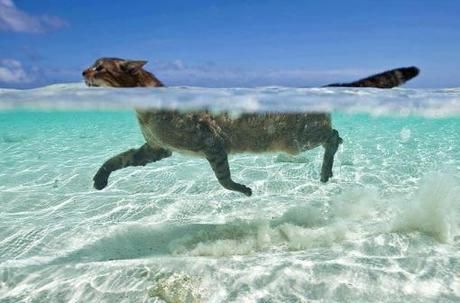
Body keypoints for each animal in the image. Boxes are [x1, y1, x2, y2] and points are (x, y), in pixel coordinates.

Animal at [82, 58, 420, 197]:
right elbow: (118, 159)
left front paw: (242, 189)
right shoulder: (156, 149)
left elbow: (223, 179)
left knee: (334, 137)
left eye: (100, 67)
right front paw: (100, 178)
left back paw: (326, 171)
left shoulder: (211, 142)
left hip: (298, 138)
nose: (84, 71)